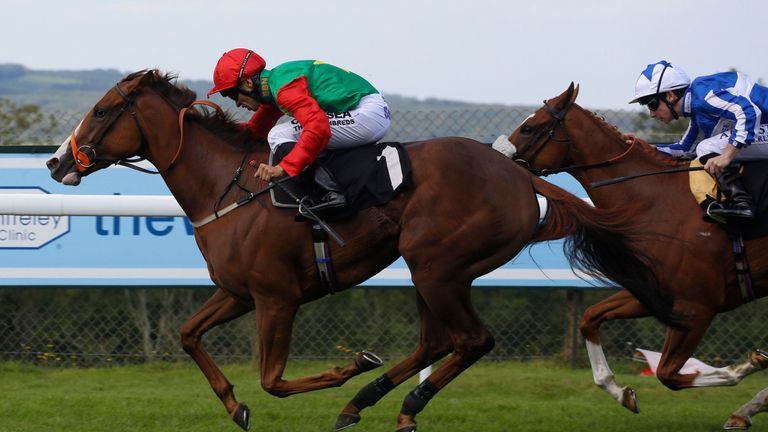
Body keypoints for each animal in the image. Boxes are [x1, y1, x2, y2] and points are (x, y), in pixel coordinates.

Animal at [46, 71, 664, 432]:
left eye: (101, 111)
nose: (56, 162)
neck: (230, 187)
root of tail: (519, 173)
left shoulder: (277, 298)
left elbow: (273, 379)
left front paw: (350, 366)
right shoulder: (239, 292)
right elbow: (189, 334)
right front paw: (235, 406)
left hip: (436, 264)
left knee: (471, 340)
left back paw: (394, 402)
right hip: (434, 270)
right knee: (439, 340)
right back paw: (369, 402)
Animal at [500, 83, 768, 428]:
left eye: (529, 128)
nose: (499, 161)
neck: (652, 199)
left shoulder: (696, 307)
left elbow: (668, 374)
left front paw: (748, 368)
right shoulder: (654, 293)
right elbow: (589, 318)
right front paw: (620, 392)